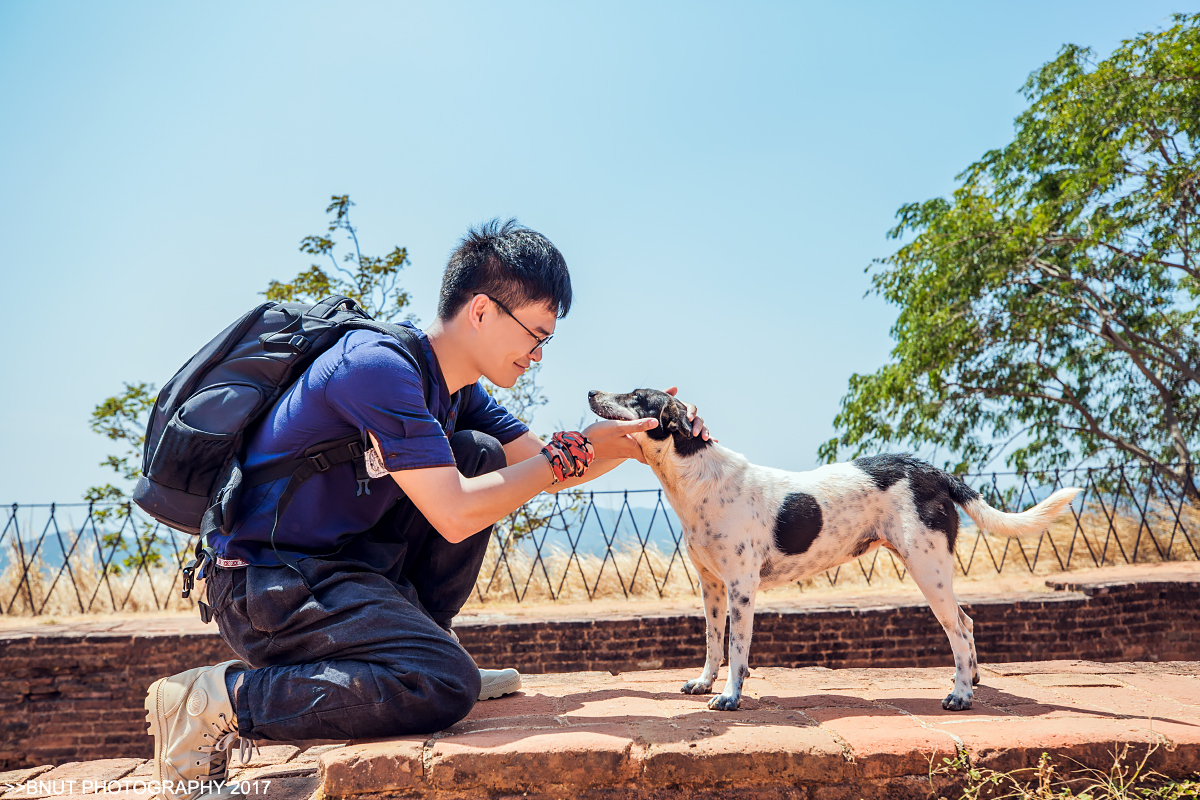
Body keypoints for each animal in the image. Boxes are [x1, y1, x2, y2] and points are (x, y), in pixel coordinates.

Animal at [585, 388, 1084, 714]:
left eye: (635, 396)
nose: (590, 390)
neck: (697, 478)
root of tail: (932, 470)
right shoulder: (711, 585)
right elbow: (712, 641)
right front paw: (705, 683)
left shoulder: (742, 587)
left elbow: (737, 647)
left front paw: (729, 696)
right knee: (968, 622)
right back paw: (974, 680)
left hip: (928, 568)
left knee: (959, 629)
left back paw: (961, 695)